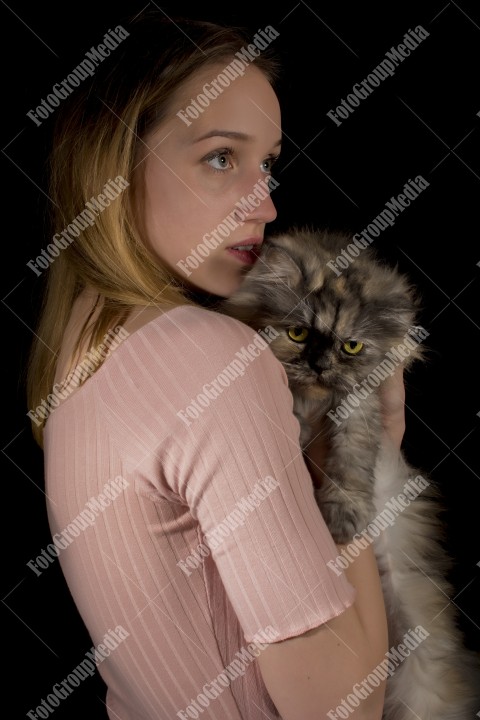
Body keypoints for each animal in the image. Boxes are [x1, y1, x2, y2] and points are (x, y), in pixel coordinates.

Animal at [218, 229, 480, 720]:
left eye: (351, 347)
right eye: (298, 333)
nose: (320, 365)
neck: (314, 399)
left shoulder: (360, 407)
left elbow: (351, 463)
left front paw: (342, 518)